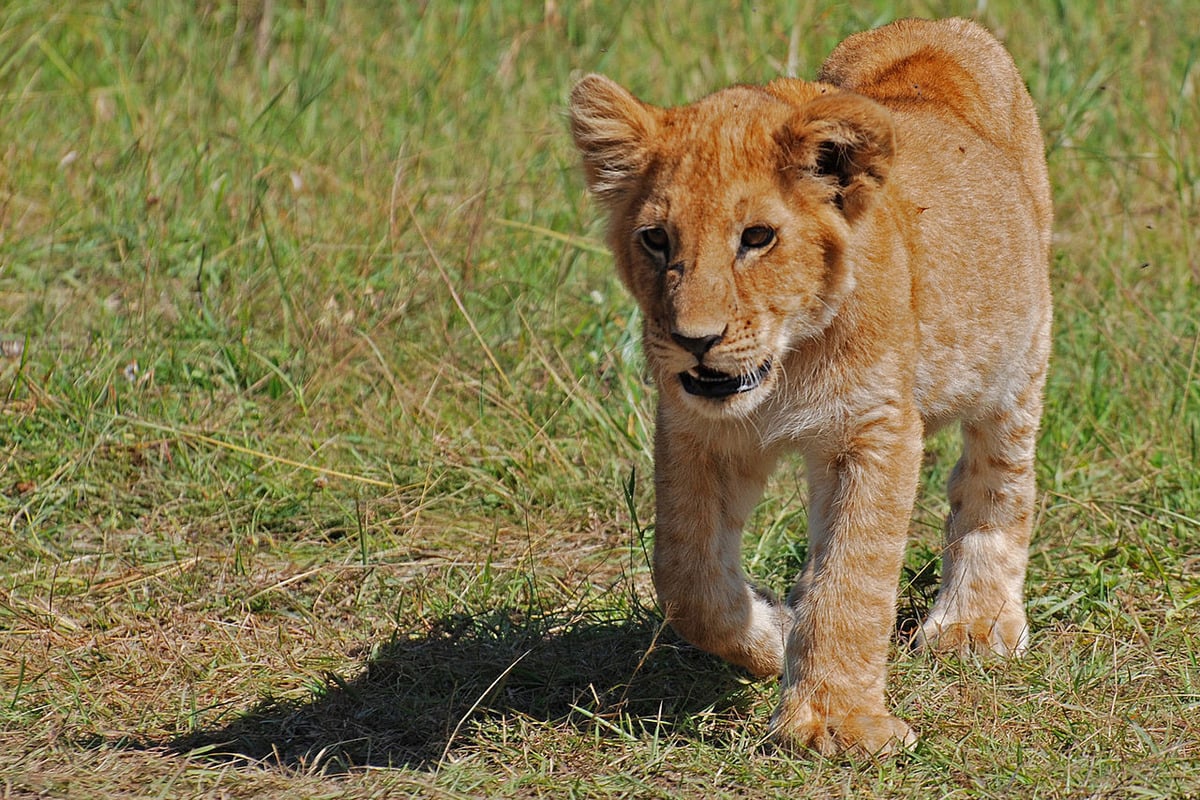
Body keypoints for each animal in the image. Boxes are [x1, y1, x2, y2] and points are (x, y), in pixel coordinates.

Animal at [568, 17, 1052, 756]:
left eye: (757, 237)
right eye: (655, 239)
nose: (694, 339)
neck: (786, 364)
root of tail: (938, 24)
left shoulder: (875, 430)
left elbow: (851, 579)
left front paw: (835, 723)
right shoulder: (697, 428)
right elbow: (686, 580)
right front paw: (772, 636)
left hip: (1020, 353)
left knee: (997, 479)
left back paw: (976, 623)